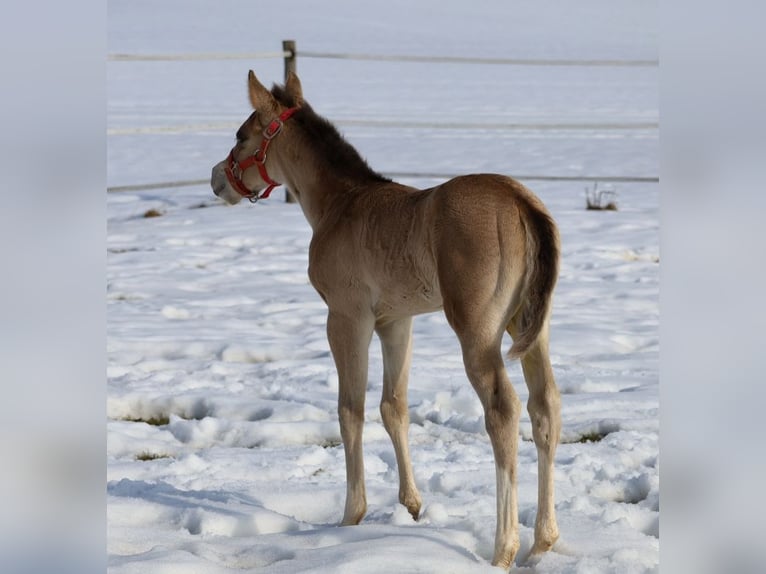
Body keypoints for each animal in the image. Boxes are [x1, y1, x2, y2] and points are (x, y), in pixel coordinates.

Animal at [210, 70, 561, 569]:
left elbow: (350, 409)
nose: (216, 180)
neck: (340, 204)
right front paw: (411, 505)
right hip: (530, 326)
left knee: (503, 410)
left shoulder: (346, 317)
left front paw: (350, 516)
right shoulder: (396, 321)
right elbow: (393, 406)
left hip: (478, 332)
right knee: (544, 406)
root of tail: (520, 202)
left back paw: (503, 548)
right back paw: (542, 541)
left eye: (242, 135)